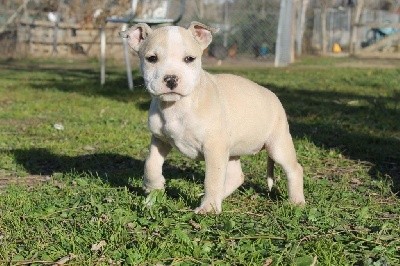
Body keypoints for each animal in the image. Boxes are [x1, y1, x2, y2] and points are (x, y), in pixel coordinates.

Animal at [120, 22, 304, 214]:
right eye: (152, 59)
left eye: (189, 59)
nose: (171, 79)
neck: (177, 106)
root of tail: (273, 96)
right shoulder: (160, 139)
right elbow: (150, 163)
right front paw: (154, 188)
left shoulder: (214, 148)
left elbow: (212, 178)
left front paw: (208, 208)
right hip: (232, 151)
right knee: (237, 176)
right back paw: (217, 197)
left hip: (278, 145)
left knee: (295, 169)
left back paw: (297, 202)